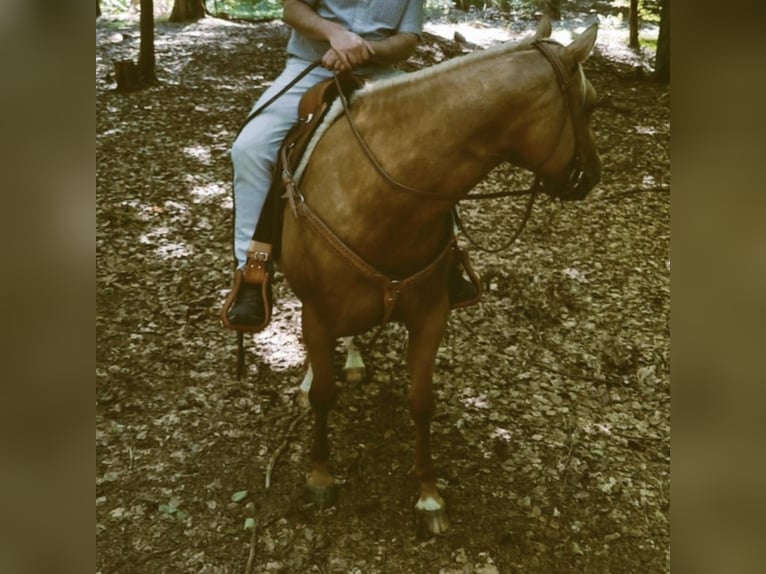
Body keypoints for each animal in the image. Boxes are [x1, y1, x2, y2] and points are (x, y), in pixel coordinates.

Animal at [280, 19, 604, 540]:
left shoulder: (431, 315)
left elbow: (421, 401)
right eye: (591, 105)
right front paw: (320, 476)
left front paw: (429, 496)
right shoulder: (318, 311)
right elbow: (324, 396)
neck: (383, 193)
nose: (593, 175)